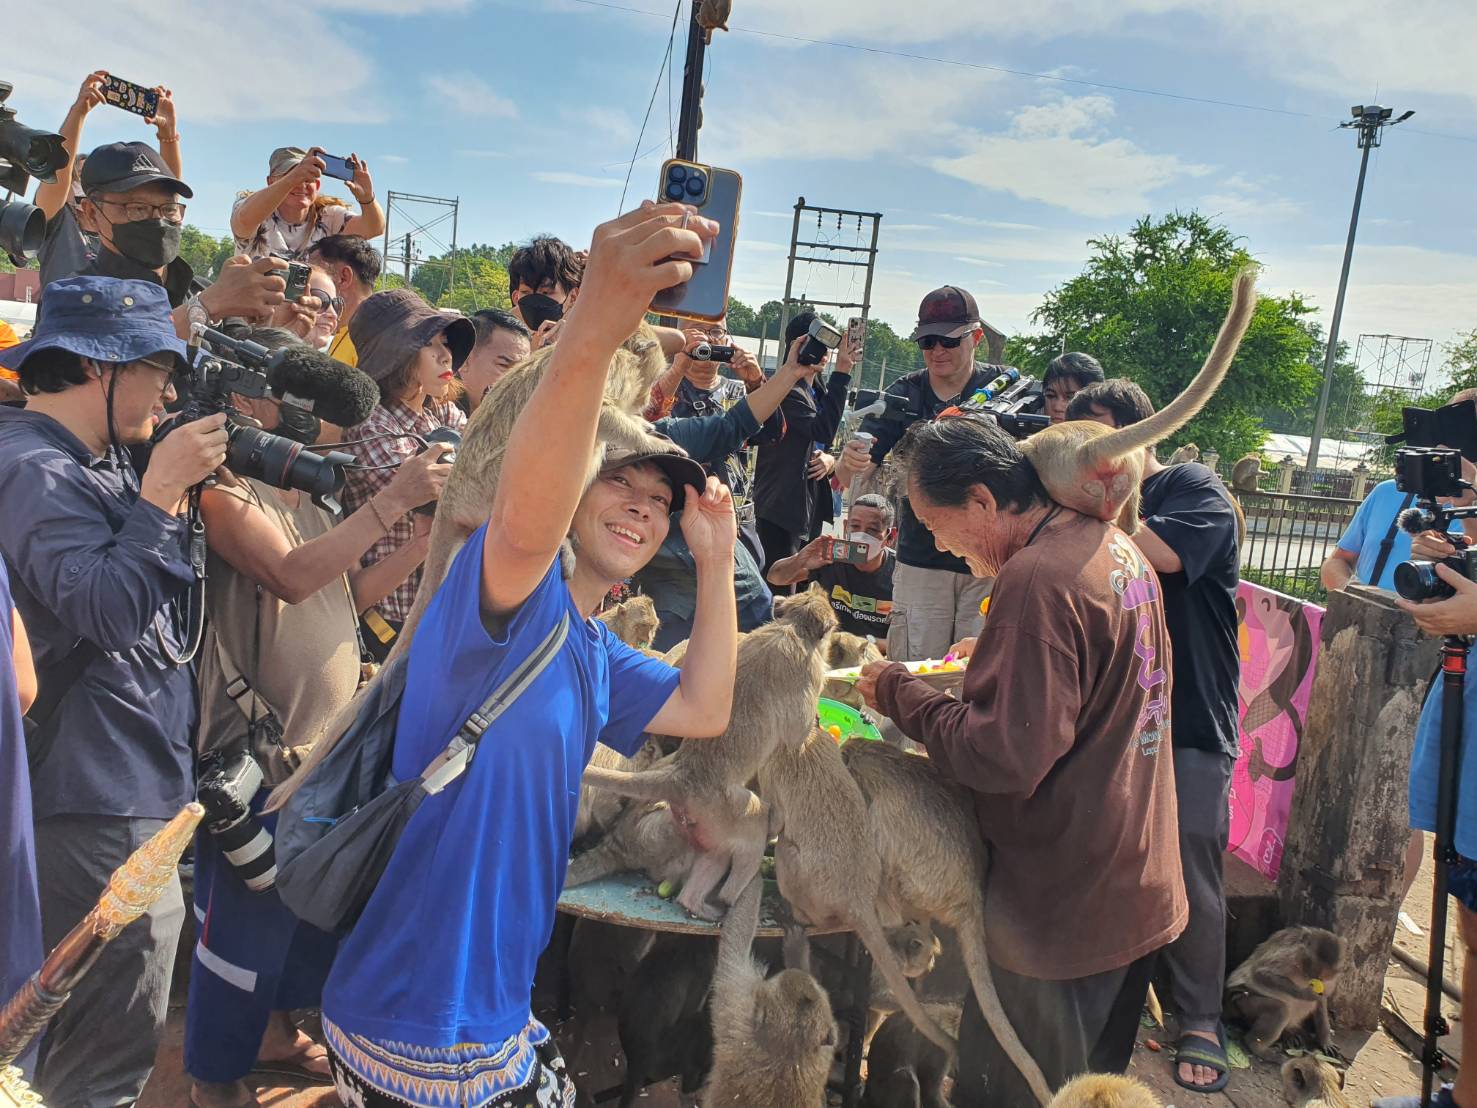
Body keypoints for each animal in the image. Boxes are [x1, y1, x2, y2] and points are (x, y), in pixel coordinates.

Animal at [584, 590, 844, 921]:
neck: (791, 627)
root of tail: (682, 774)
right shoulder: (810, 672)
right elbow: (797, 734)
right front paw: (814, 727)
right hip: (723, 806)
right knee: (754, 822)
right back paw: (732, 896)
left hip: (696, 812)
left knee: (715, 850)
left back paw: (695, 902)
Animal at [1217, 921, 1347, 1063]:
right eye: (1312, 964)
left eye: (1328, 971)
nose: (1317, 978)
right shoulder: (1289, 956)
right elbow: (1262, 973)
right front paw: (1305, 993)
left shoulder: (1330, 982)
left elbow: (1321, 1001)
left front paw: (1325, 1040)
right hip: (1241, 1001)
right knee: (1279, 1010)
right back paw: (1258, 1047)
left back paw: (1290, 1032)